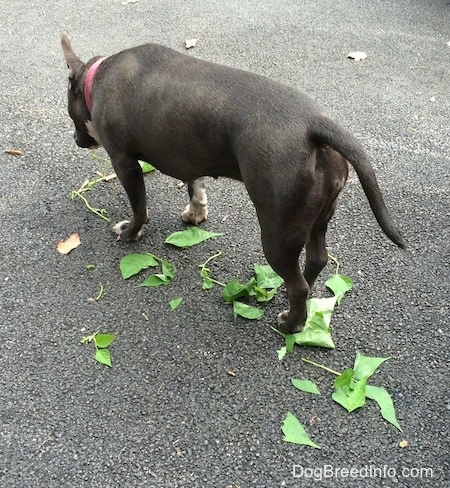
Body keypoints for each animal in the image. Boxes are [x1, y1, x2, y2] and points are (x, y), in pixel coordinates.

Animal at [60, 33, 404, 332]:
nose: (77, 140)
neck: (97, 77)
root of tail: (315, 125)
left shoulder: (124, 163)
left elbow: (139, 207)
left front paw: (131, 232)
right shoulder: (190, 156)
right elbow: (195, 185)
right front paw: (196, 213)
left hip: (278, 231)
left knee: (298, 286)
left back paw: (291, 324)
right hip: (318, 216)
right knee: (315, 262)